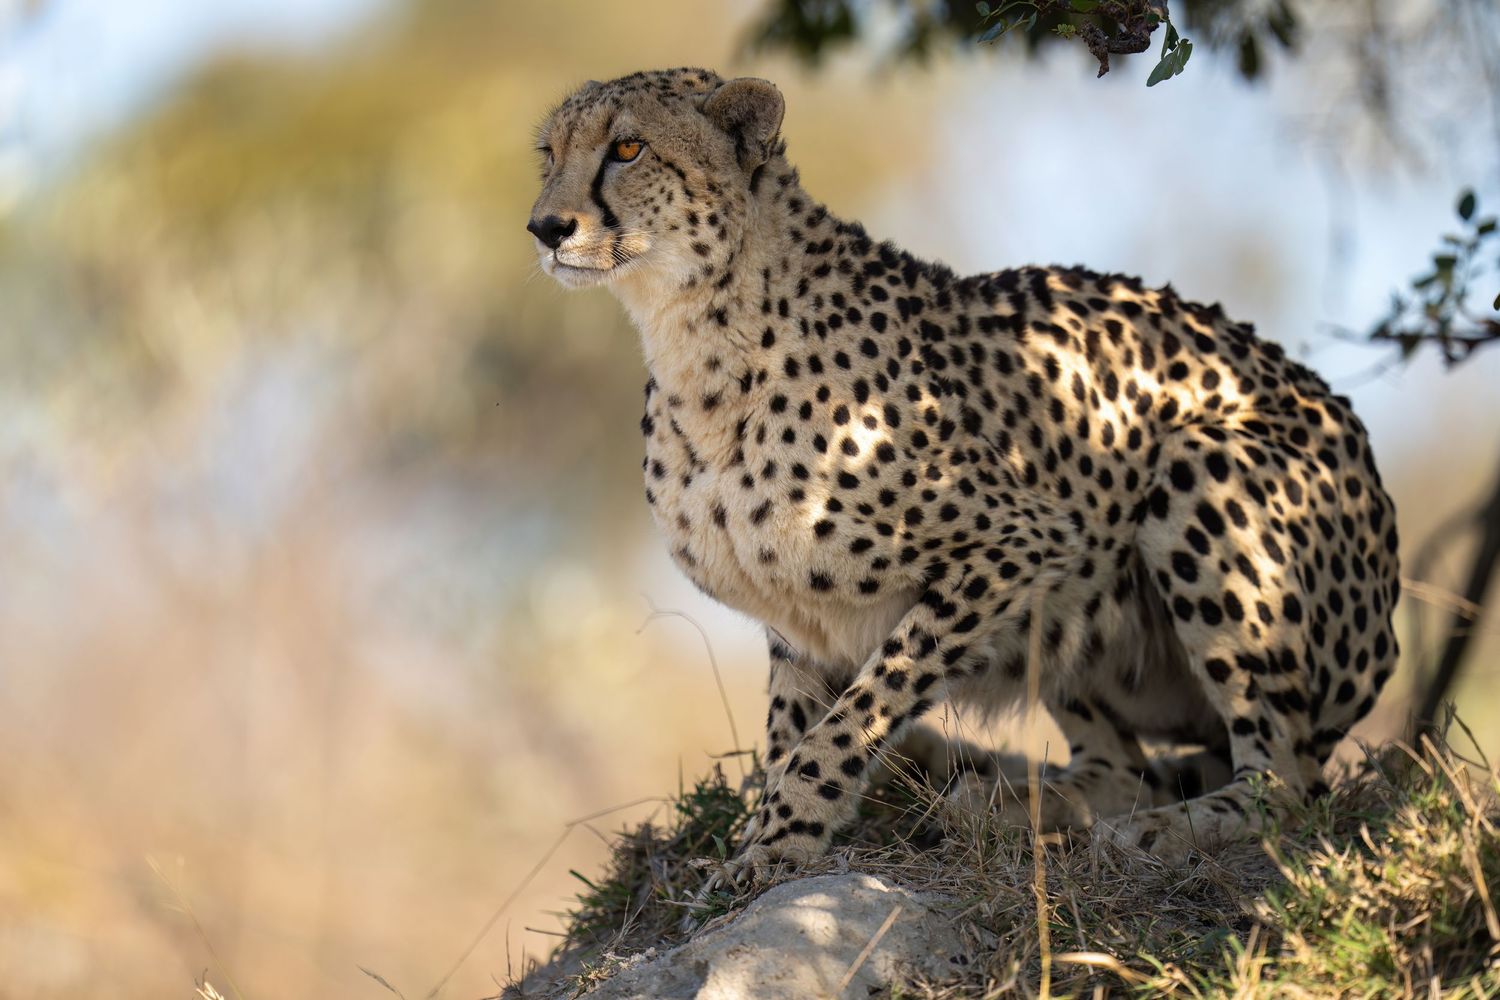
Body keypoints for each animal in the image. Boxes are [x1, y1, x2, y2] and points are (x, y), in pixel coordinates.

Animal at [526, 68, 1400, 872]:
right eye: (549, 154)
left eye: (627, 149)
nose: (544, 226)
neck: (694, 336)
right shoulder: (802, 622)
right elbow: (791, 728)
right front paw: (766, 830)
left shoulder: (1028, 541)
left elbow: (857, 714)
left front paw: (780, 840)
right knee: (1124, 769)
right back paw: (1003, 801)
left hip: (1193, 471)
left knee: (1287, 783)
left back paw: (1158, 830)